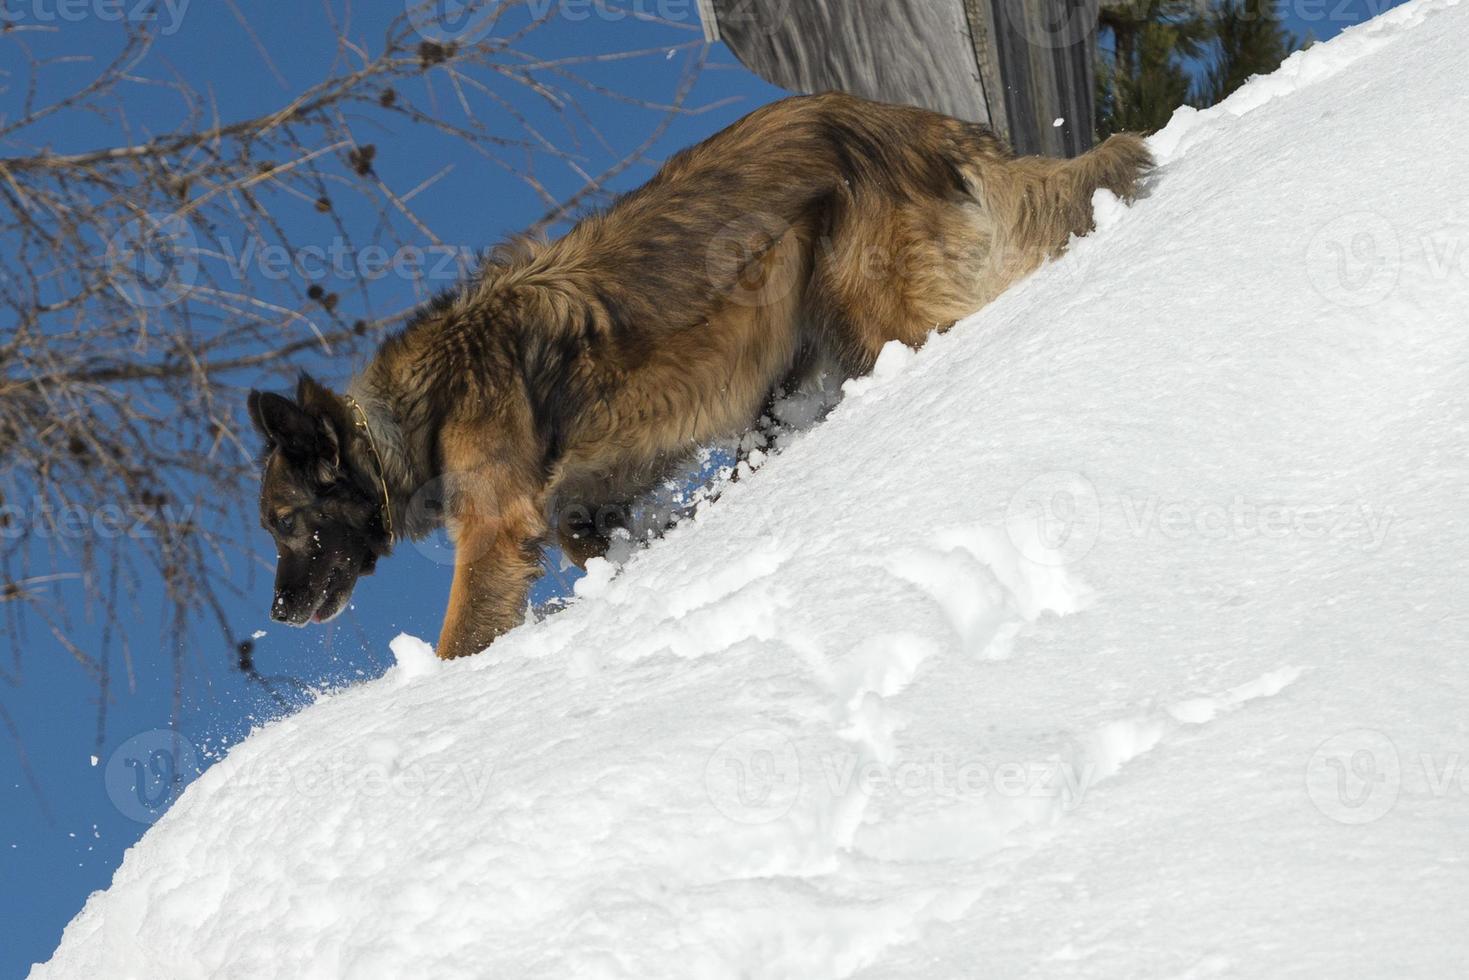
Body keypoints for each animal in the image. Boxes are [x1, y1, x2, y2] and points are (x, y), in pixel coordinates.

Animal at [246, 94, 1151, 658]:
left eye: (286, 523)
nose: (278, 610)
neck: (406, 417)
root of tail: (891, 116)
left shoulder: (496, 527)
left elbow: (460, 634)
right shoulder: (590, 494)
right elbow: (594, 537)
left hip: (865, 305)